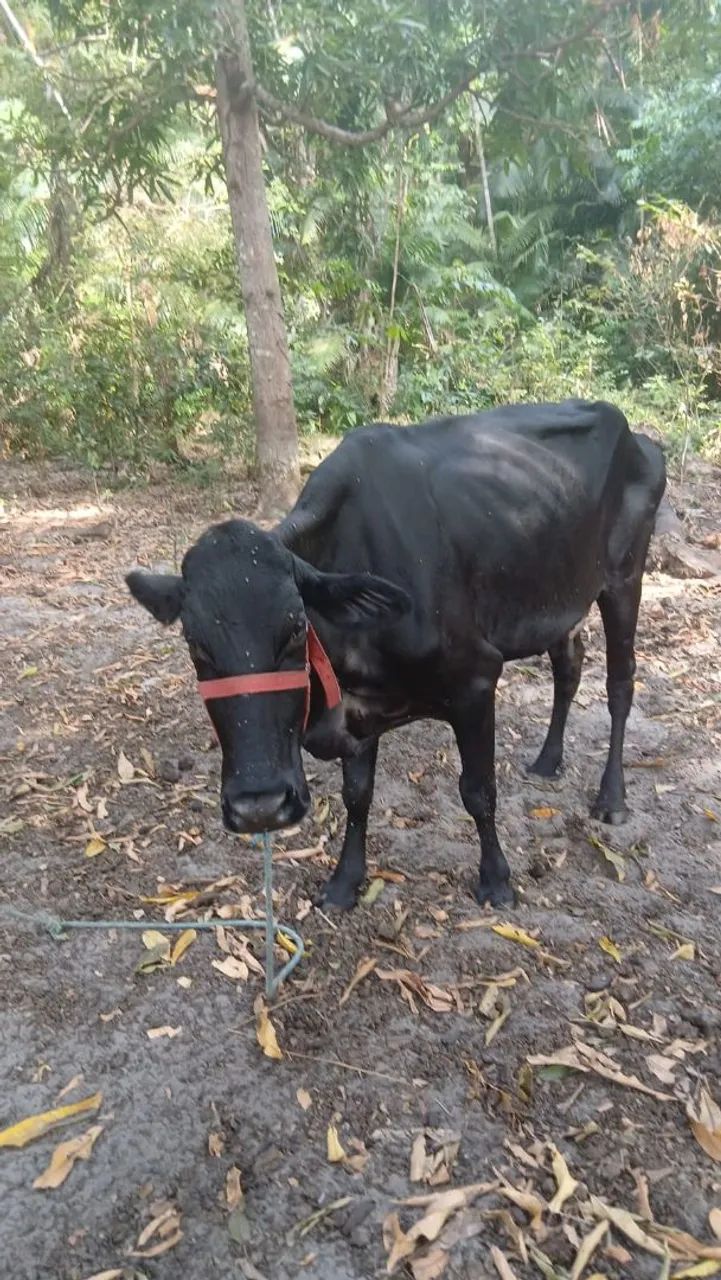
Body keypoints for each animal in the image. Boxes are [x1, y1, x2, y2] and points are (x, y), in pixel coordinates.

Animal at [126, 400, 666, 911]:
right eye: (194, 643)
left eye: (296, 627)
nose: (260, 807)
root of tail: (639, 439)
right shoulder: (357, 710)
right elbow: (357, 796)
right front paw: (345, 881)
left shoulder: (475, 680)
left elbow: (478, 791)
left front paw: (496, 879)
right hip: (559, 595)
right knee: (568, 665)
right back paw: (549, 759)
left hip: (625, 576)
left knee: (620, 684)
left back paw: (612, 798)